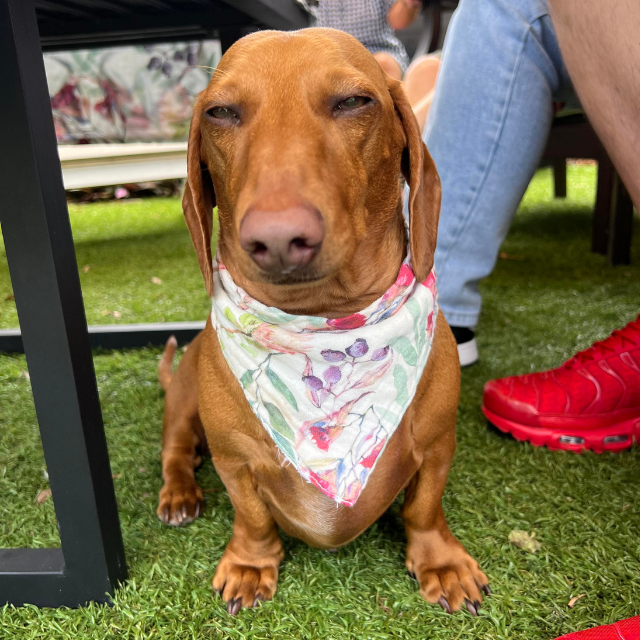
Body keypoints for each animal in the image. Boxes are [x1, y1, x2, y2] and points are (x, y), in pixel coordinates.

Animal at [158, 28, 488, 616]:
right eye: (220, 112)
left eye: (355, 102)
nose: (278, 237)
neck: (323, 322)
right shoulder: (233, 461)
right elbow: (252, 516)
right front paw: (250, 563)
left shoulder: (438, 445)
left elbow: (424, 507)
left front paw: (440, 561)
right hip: (184, 397)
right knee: (174, 448)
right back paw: (178, 491)